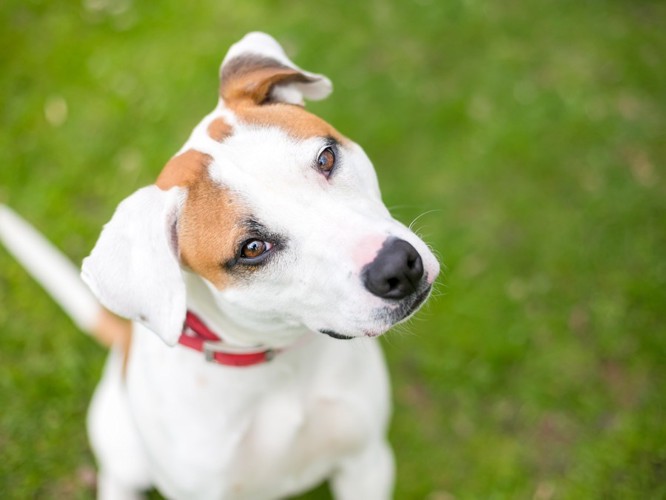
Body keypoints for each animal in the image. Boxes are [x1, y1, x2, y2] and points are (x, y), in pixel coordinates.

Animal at [0, 33, 438, 498]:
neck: (277, 365)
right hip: (122, 450)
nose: (399, 267)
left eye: (326, 158)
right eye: (252, 248)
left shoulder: (366, 461)